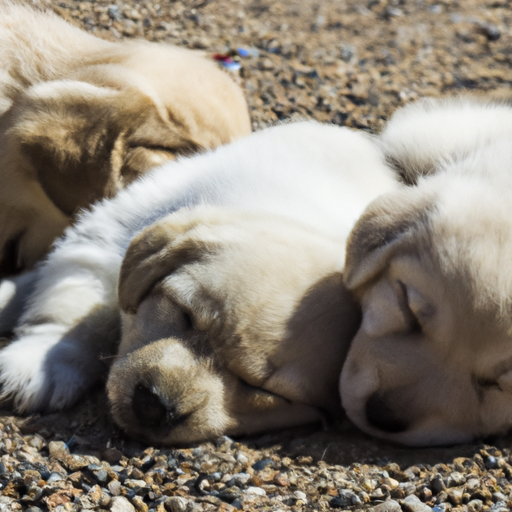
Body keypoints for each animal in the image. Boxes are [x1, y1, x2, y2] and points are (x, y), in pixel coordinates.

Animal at [0, 121, 396, 444]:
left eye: (262, 390)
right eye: (186, 317)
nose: (155, 406)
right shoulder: (107, 241)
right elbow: (75, 311)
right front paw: (38, 365)